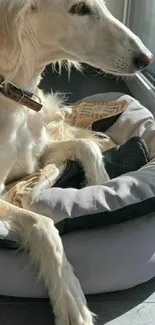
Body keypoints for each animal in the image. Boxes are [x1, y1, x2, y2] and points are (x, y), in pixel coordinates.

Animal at [0, 0, 153, 324]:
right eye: (79, 8)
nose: (147, 59)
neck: (15, 96)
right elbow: (43, 223)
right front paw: (70, 296)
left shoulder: (36, 157)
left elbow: (86, 146)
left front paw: (102, 184)